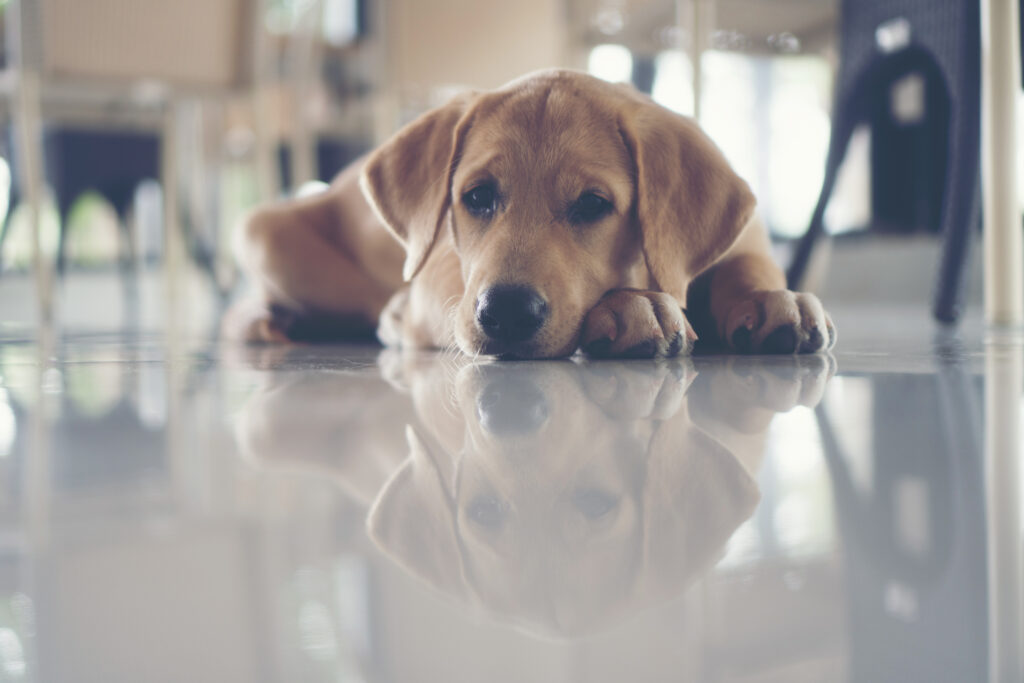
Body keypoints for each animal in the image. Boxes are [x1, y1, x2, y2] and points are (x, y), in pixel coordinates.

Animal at [228, 69, 835, 360]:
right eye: (477, 198)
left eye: (593, 204)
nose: (506, 314)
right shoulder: (442, 272)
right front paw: (637, 306)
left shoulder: (741, 240)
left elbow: (749, 267)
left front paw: (774, 301)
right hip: (264, 235)